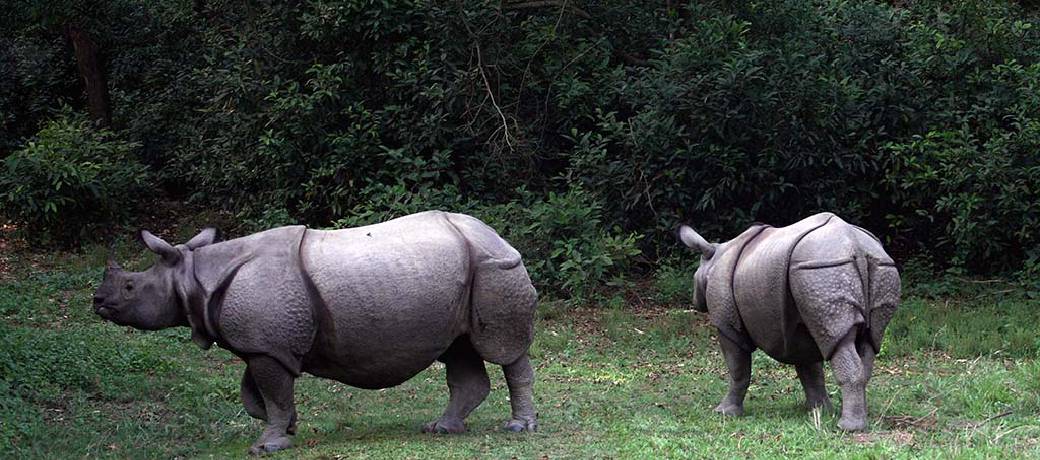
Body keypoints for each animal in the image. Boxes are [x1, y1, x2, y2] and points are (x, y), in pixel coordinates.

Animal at [92, 211, 539, 454]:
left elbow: (271, 394)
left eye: (130, 287)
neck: (193, 277)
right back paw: (441, 429)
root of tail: (497, 235)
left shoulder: (266, 345)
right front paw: (287, 428)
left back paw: (519, 429)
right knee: (458, 350)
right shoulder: (263, 342)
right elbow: (256, 395)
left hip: (494, 267)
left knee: (503, 350)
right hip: (463, 275)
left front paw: (267, 445)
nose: (97, 300)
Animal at [678, 212, 900, 431]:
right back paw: (858, 421)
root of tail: (856, 246)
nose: (695, 301)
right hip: (869, 268)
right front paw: (819, 412)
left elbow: (738, 370)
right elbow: (810, 370)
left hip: (823, 268)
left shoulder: (727, 324)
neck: (714, 256)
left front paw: (724, 413)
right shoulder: (800, 325)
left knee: (840, 340)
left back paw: (848, 428)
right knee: (869, 340)